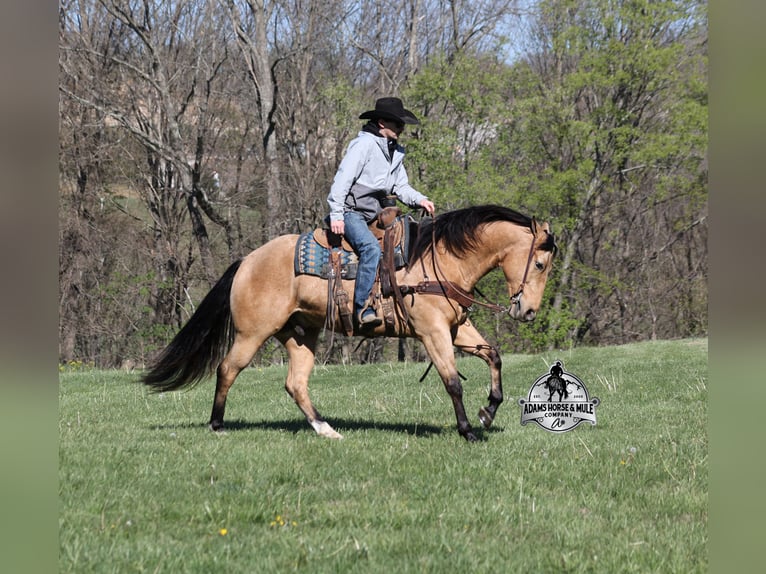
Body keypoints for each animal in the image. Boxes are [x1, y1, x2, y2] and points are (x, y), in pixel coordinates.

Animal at [142, 204, 558, 442]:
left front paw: (488, 412)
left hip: (300, 335)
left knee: (296, 384)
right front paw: (468, 430)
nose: (528, 311)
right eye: (539, 264)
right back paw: (217, 425)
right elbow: (452, 381)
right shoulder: (433, 331)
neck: (439, 259)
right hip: (251, 333)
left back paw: (326, 429)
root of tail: (246, 260)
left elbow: (494, 356)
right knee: (228, 368)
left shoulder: (457, 329)